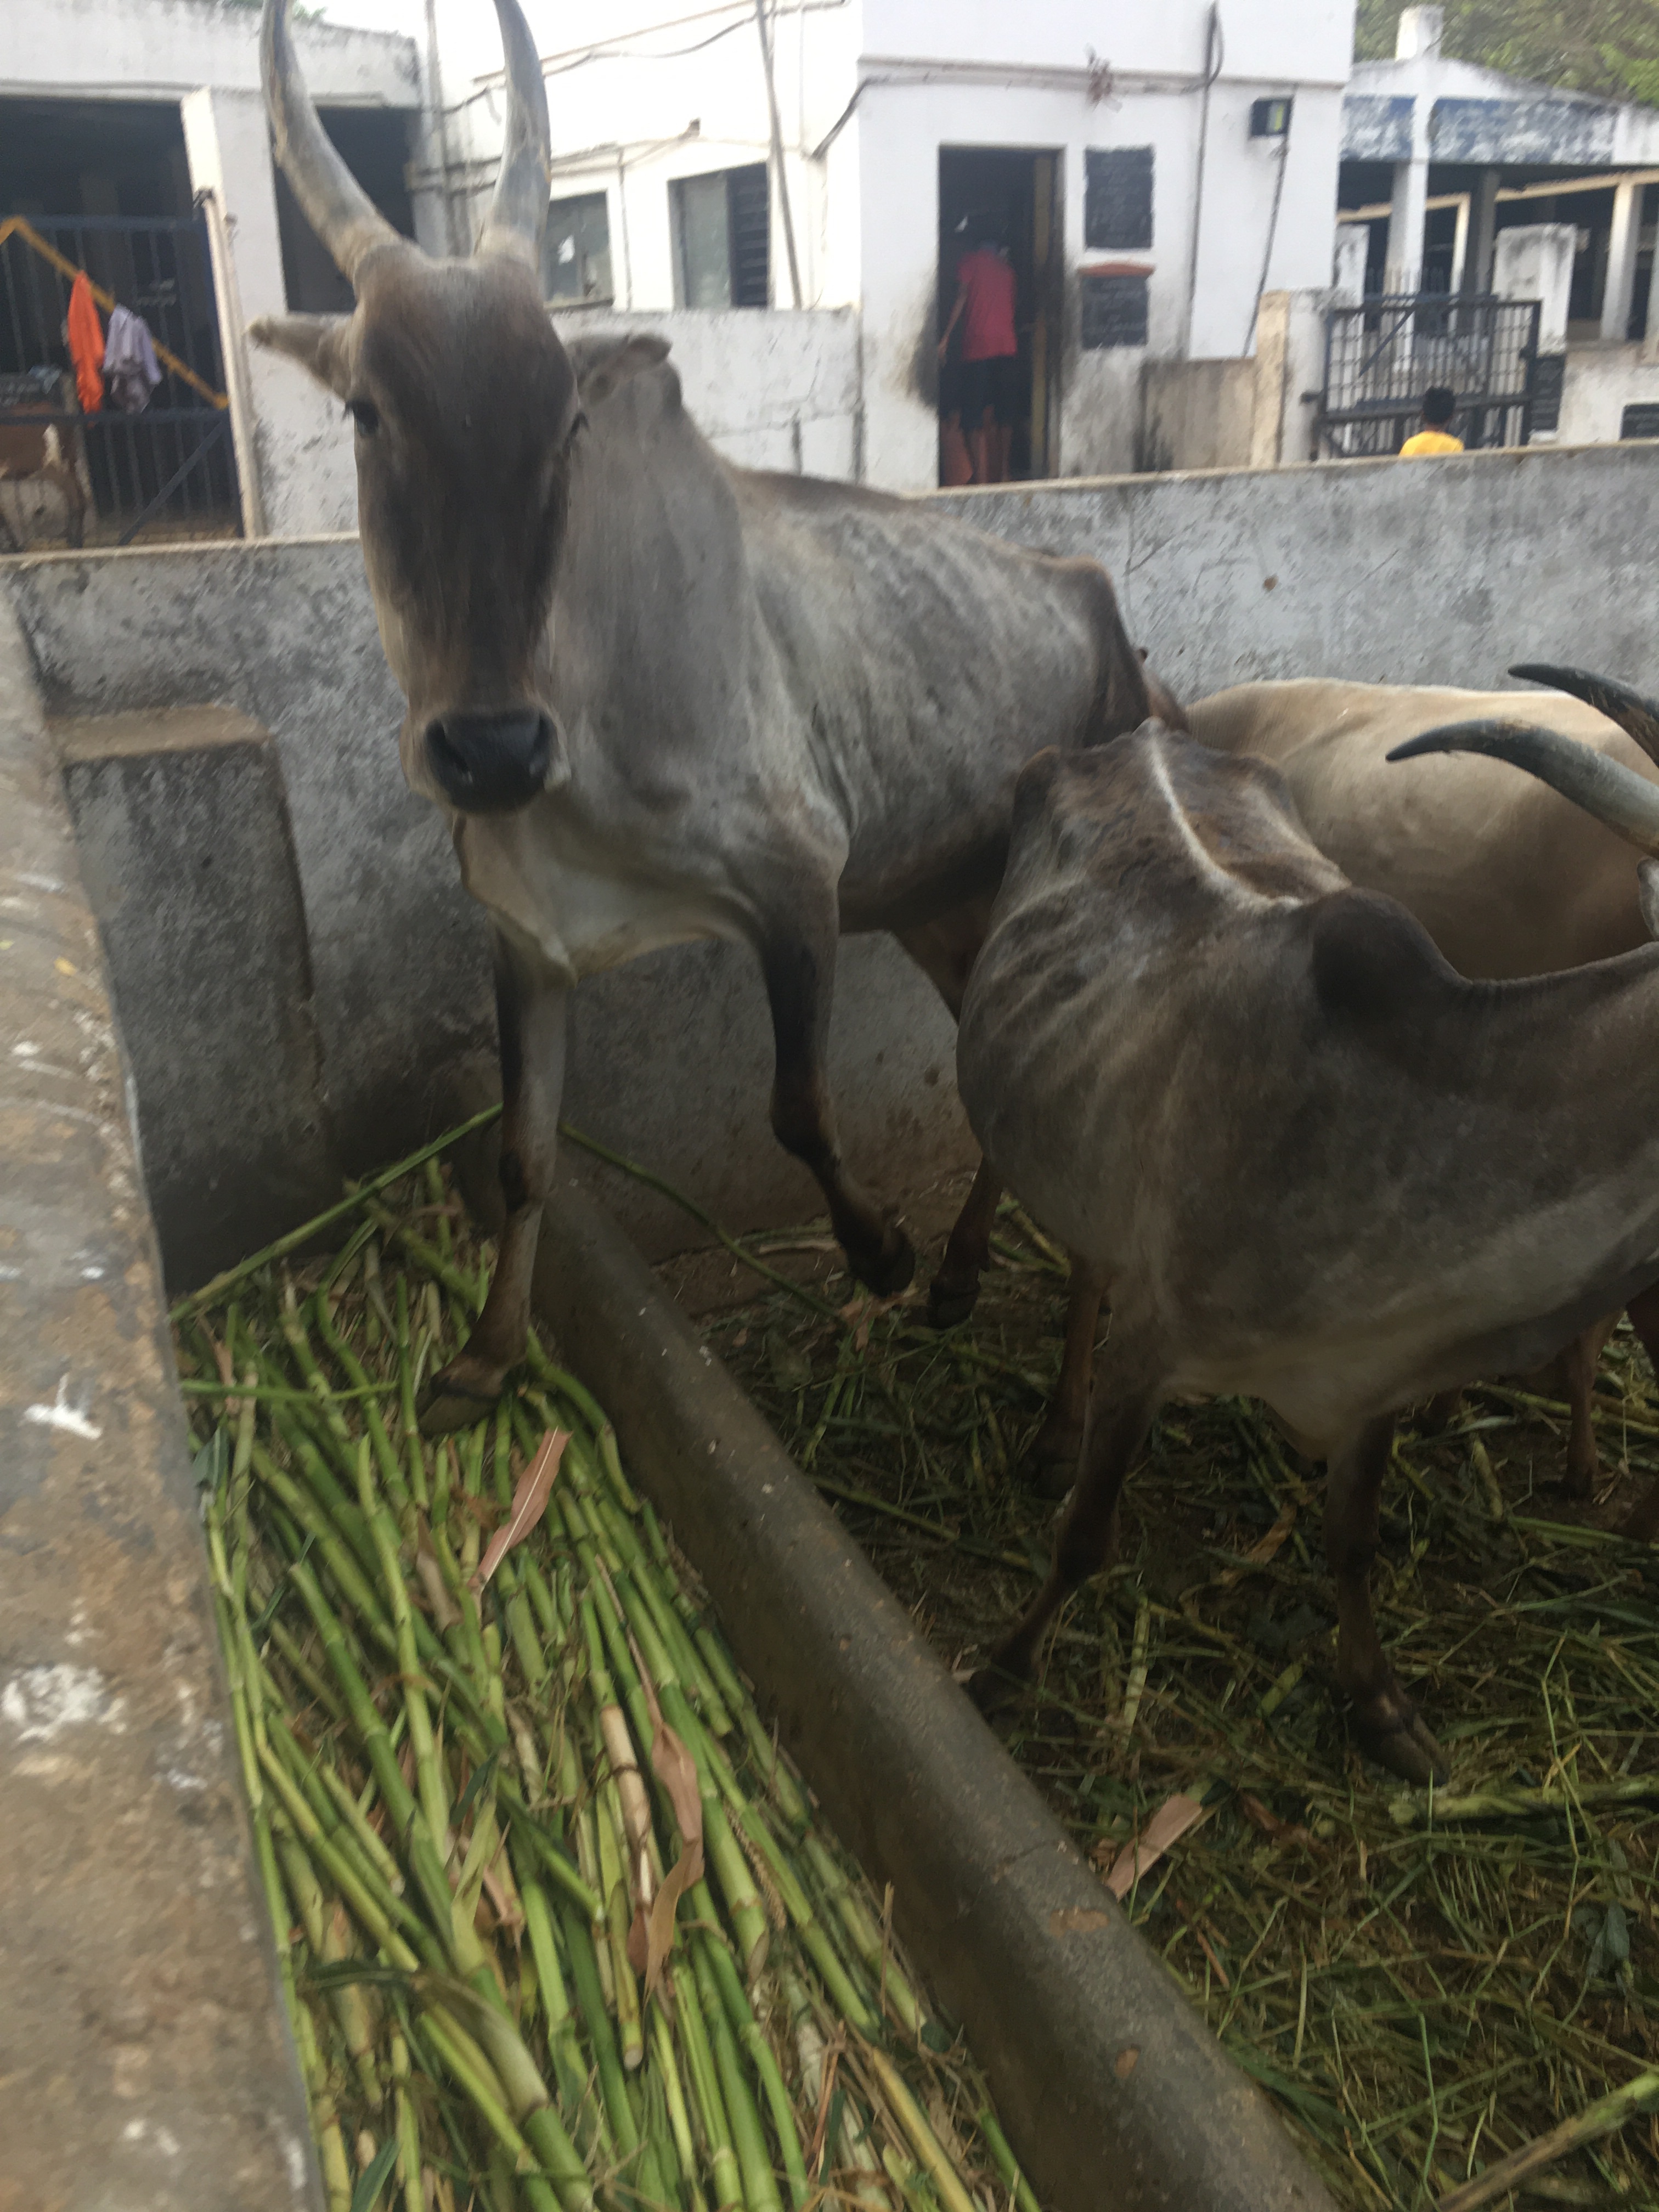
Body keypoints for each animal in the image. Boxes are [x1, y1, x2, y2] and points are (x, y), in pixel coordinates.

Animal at [252, 0, 1160, 1431]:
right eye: (364, 408)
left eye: (567, 422)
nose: (491, 749)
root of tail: (1096, 598)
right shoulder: (527, 941)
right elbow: (524, 1156)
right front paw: (484, 1359)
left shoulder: (799, 883)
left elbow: (797, 1108)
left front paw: (878, 1253)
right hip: (943, 908)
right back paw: (969, 1285)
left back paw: (1053, 1397)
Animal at [955, 711, 1659, 1782]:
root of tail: (1143, 733)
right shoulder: (1149, 1346)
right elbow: (1084, 1533)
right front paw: (1000, 1670)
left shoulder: (1374, 1385)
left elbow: (1353, 1541)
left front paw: (1379, 1706)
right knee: (1079, 1270)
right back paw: (1050, 1430)